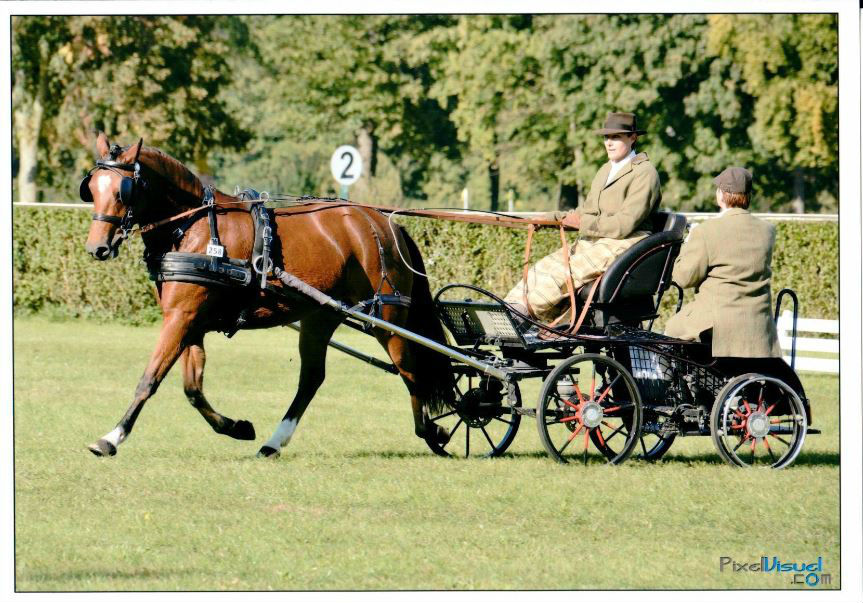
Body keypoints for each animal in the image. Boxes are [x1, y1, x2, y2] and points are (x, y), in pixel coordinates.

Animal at [82, 133, 452, 458]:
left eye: (123, 190)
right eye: (92, 188)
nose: (96, 247)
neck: (195, 228)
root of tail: (383, 223)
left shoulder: (182, 318)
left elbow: (150, 378)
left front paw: (111, 437)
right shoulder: (189, 321)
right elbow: (192, 388)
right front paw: (237, 427)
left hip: (386, 319)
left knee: (410, 371)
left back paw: (431, 431)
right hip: (321, 317)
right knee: (311, 379)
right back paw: (274, 443)